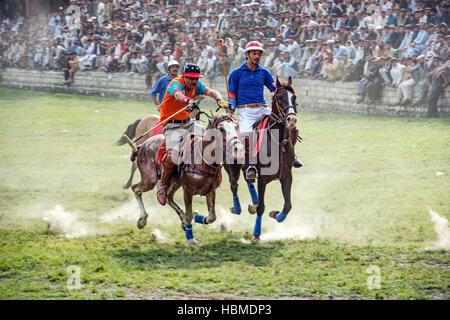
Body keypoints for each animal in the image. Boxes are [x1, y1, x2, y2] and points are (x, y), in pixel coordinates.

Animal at [132, 114, 244, 246]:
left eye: (236, 127)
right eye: (221, 129)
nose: (238, 148)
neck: (204, 160)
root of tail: (142, 145)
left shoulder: (211, 190)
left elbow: (212, 217)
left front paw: (196, 218)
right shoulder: (188, 190)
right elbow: (190, 215)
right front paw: (191, 238)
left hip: (174, 182)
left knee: (168, 197)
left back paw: (181, 219)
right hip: (150, 179)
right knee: (136, 189)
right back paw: (142, 220)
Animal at [224, 76, 300, 241]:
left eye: (294, 97)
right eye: (279, 97)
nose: (291, 120)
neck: (278, 141)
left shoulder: (287, 176)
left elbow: (288, 205)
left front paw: (276, 215)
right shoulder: (263, 178)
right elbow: (261, 207)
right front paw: (257, 234)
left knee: (248, 179)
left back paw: (251, 204)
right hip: (231, 167)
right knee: (234, 185)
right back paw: (236, 208)